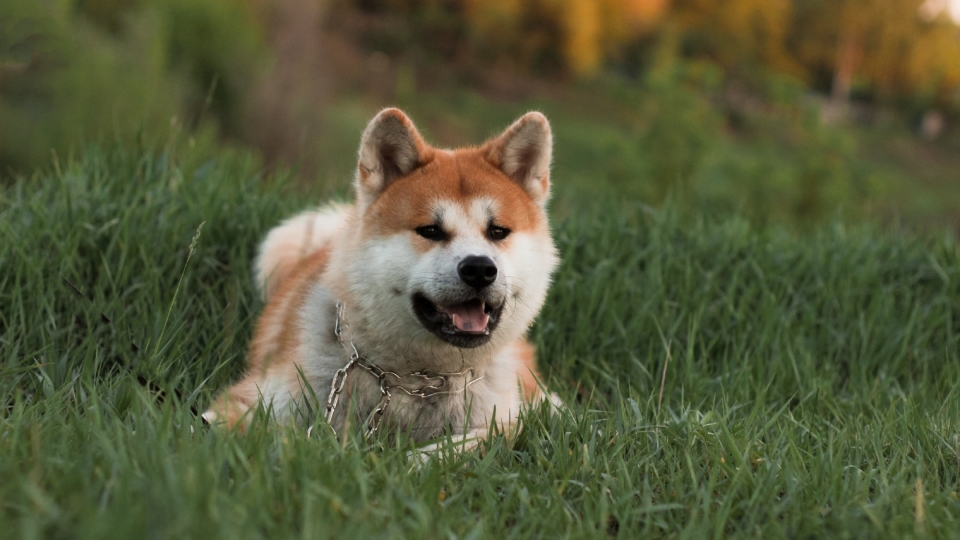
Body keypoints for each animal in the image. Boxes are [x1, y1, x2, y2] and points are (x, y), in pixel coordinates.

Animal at [204, 107, 564, 446]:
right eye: (430, 231)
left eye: (498, 231)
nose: (479, 268)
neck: (415, 379)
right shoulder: (245, 402)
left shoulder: (502, 422)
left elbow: (447, 452)